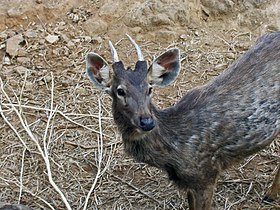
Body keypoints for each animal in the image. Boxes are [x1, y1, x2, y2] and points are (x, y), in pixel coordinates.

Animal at [86, 33, 280, 209]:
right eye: (120, 91)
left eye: (149, 88)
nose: (147, 122)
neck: (175, 152)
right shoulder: (189, 183)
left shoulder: (206, 174)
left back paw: (269, 196)